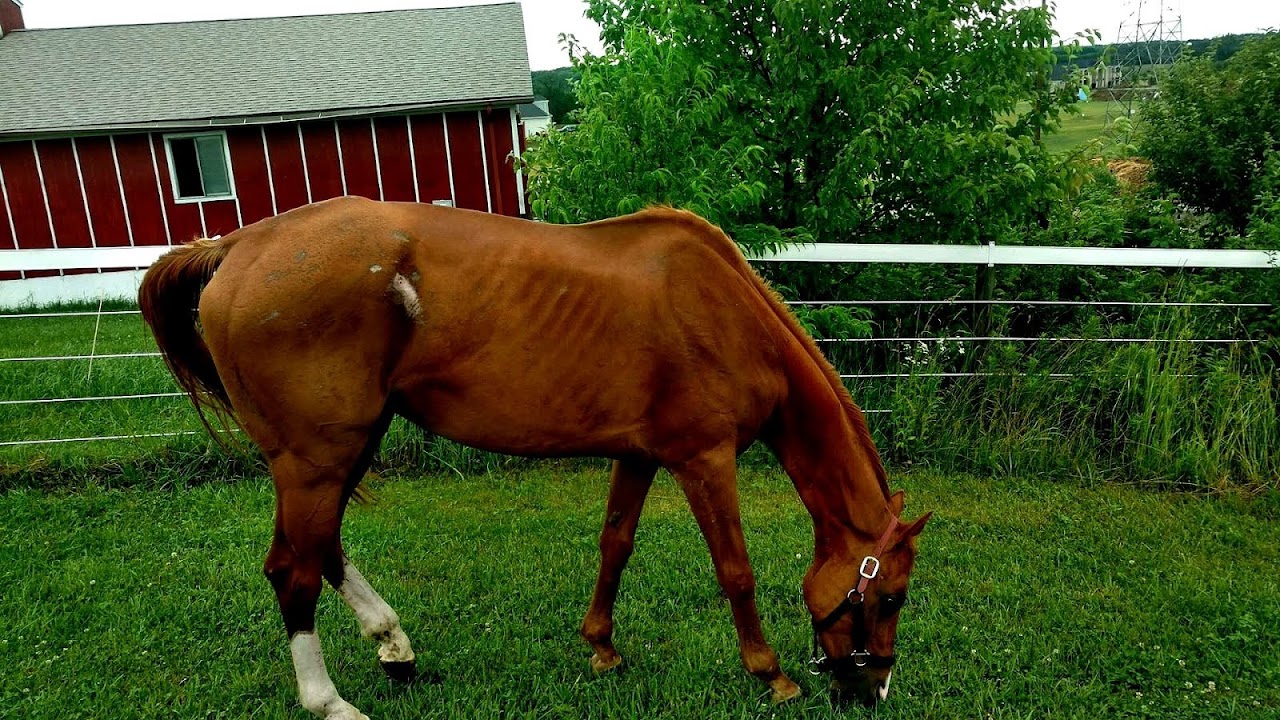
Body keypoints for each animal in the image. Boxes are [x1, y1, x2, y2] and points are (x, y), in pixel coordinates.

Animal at [138, 197, 931, 718]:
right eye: (890, 596)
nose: (875, 689)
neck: (721, 308)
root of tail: (239, 246)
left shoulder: (641, 455)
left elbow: (615, 545)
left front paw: (602, 647)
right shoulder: (705, 460)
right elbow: (735, 571)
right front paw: (770, 674)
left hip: (343, 451)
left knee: (321, 550)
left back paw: (393, 645)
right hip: (315, 459)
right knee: (292, 571)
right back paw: (328, 701)